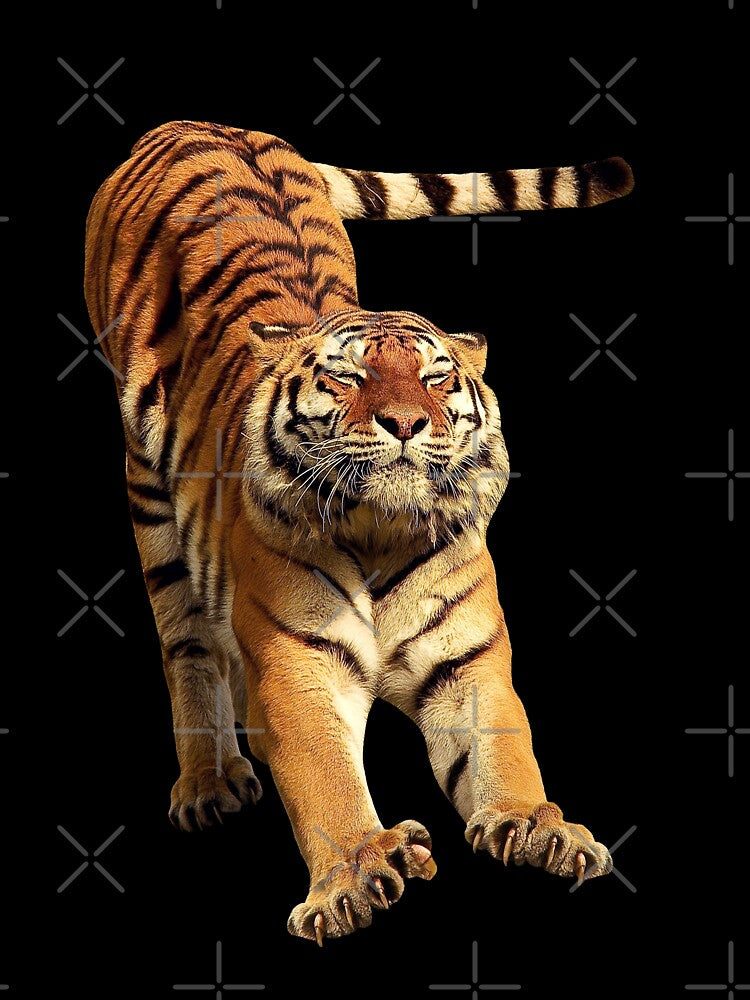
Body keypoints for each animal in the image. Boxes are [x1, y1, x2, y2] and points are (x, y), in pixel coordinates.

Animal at [84, 120, 633, 944]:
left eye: (436, 379)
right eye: (348, 378)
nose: (405, 422)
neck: (381, 529)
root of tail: (192, 125)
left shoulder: (467, 662)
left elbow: (505, 752)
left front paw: (537, 826)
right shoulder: (300, 668)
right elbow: (325, 780)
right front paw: (357, 873)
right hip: (148, 495)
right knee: (187, 645)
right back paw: (208, 784)